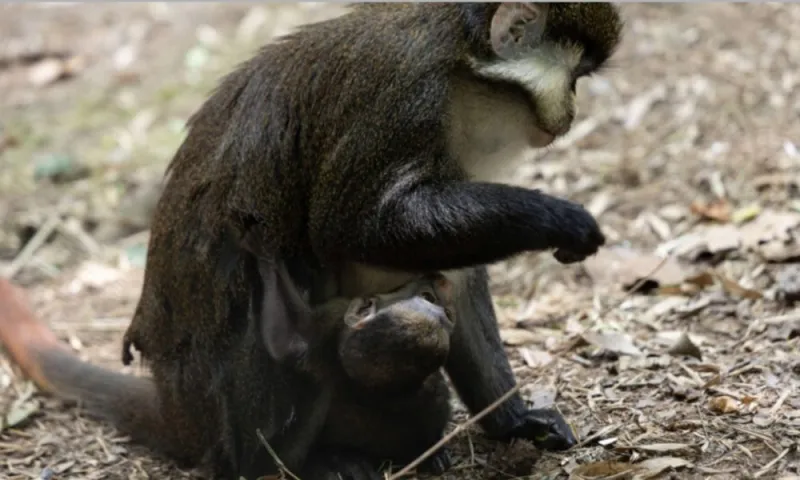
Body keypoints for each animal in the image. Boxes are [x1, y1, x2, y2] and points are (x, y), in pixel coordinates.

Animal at [4, 3, 625, 479]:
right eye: (575, 78)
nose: (571, 114)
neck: (463, 71)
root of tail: (179, 412)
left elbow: (459, 279)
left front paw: (513, 421)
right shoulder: (401, 102)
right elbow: (353, 228)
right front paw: (557, 218)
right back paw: (294, 462)